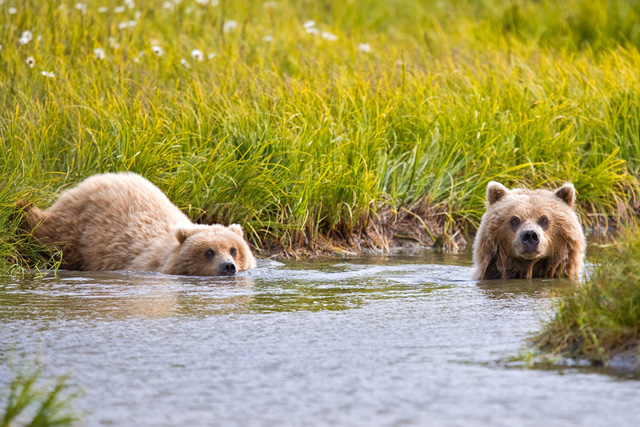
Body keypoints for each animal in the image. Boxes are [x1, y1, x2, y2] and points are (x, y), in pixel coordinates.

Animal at [21, 173, 258, 278]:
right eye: (209, 251)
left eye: (234, 250)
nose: (228, 266)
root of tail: (96, 177)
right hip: (77, 224)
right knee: (51, 234)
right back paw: (23, 207)